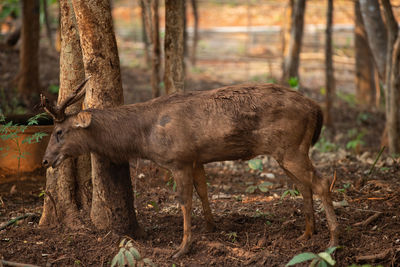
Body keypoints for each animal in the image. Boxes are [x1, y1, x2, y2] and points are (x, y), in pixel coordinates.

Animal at [42, 78, 340, 258]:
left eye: (59, 131)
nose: (45, 160)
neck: (143, 137)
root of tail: (317, 109)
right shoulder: (196, 159)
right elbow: (203, 192)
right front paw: (211, 228)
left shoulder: (179, 158)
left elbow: (185, 201)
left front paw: (183, 247)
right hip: (288, 150)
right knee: (304, 185)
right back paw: (307, 234)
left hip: (290, 147)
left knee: (322, 181)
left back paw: (333, 241)